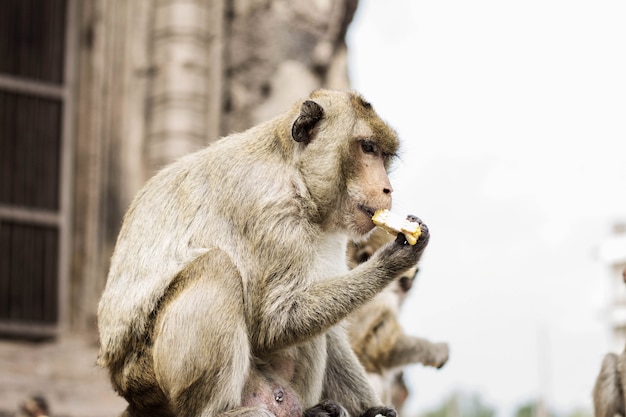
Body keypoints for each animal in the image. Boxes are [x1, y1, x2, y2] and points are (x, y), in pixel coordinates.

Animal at [96, 88, 428, 416]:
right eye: (368, 148)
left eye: (384, 155)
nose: (387, 189)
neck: (296, 175)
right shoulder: (268, 206)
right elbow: (275, 322)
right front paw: (393, 259)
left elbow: (325, 327)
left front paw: (373, 410)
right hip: (147, 377)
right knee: (217, 266)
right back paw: (220, 412)